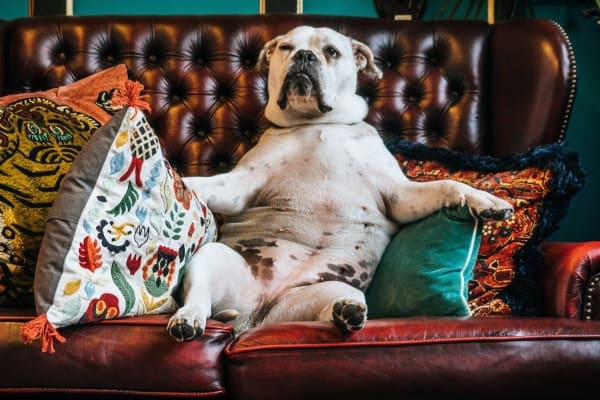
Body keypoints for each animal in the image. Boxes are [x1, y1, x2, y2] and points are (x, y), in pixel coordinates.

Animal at [166, 25, 512, 340]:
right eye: (286, 48)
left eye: (331, 51)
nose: (304, 56)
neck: (320, 123)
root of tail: (257, 314)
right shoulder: (240, 185)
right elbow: (202, 183)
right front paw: (173, 183)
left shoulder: (400, 195)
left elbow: (449, 185)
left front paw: (487, 201)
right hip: (211, 259)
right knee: (199, 298)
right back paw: (187, 319)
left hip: (325, 292)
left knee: (329, 309)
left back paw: (346, 312)